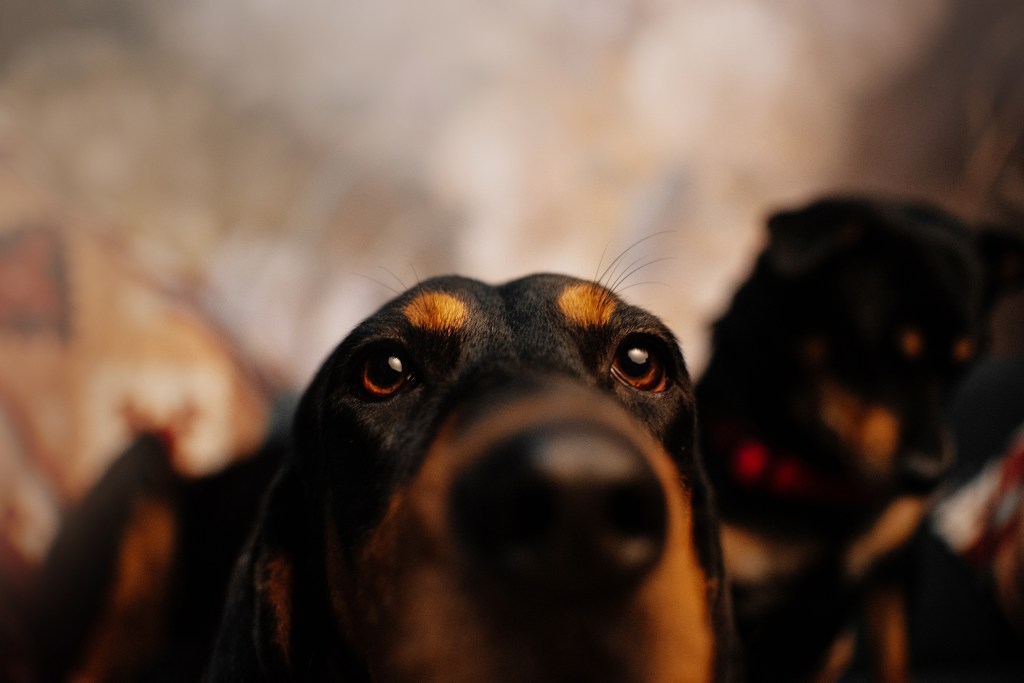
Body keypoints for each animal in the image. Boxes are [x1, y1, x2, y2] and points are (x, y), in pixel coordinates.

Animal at [696, 194, 1024, 679]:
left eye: (963, 365)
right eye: (869, 355)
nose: (928, 477)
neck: (820, 475)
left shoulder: (887, 573)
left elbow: (894, 658)